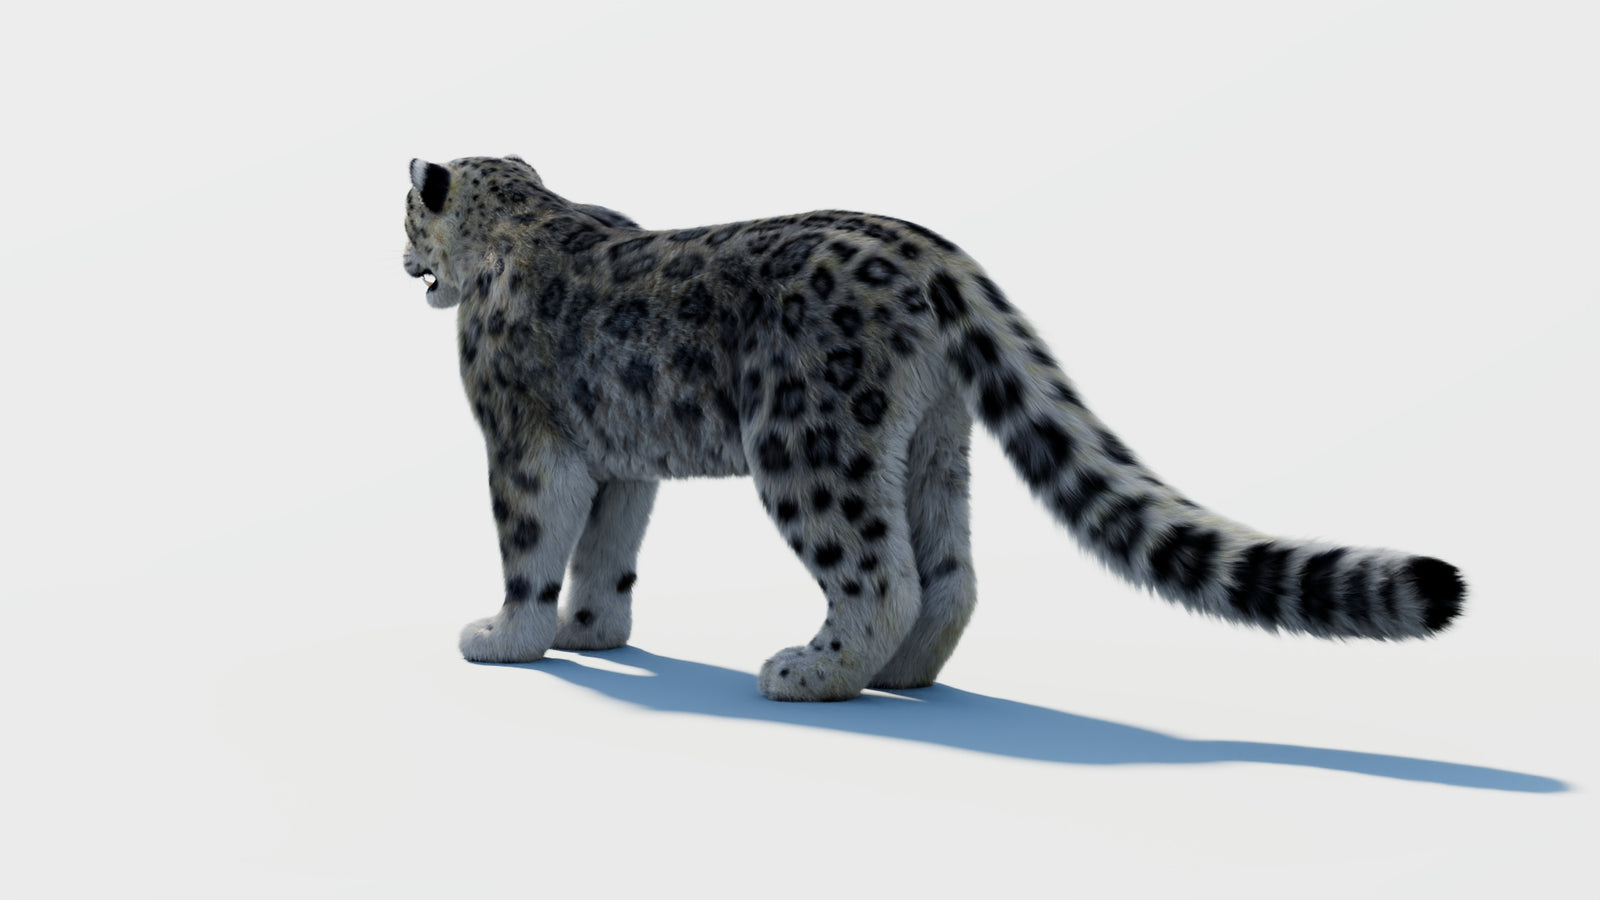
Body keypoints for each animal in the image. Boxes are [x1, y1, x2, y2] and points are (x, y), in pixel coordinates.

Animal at [401, 155, 1466, 702]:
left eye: (405, 216)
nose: (401, 261)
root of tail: (932, 251)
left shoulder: (523, 442)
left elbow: (533, 542)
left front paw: (504, 635)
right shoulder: (621, 461)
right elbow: (607, 549)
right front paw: (592, 632)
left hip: (808, 443)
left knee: (878, 573)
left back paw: (811, 671)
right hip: (927, 442)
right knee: (947, 572)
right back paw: (905, 676)